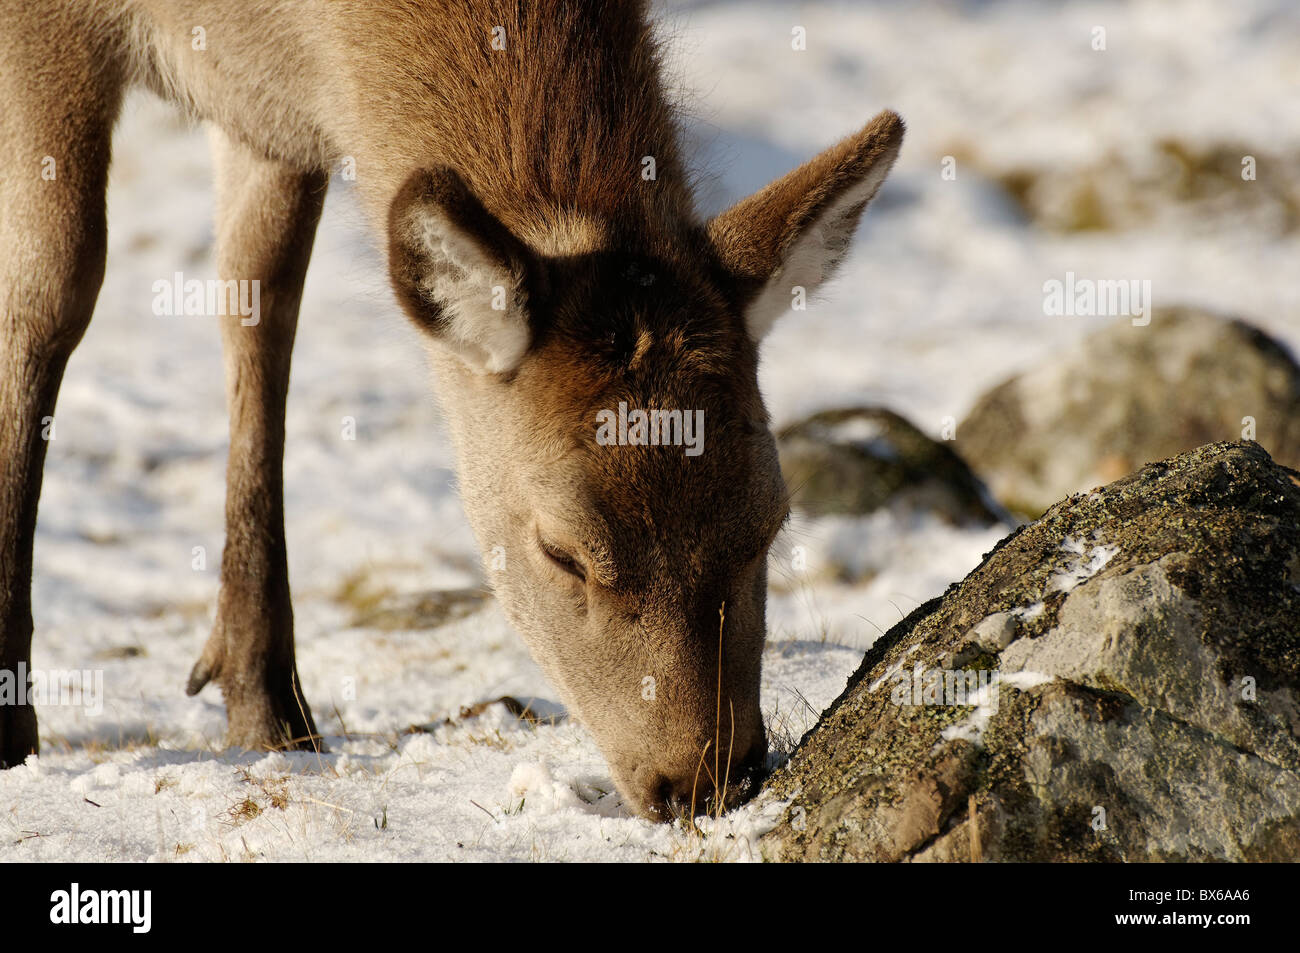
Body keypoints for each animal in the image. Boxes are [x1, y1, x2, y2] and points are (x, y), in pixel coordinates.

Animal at [2, 0, 904, 816]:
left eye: (771, 522)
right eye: (562, 551)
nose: (707, 780)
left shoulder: (267, 109)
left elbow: (259, 308)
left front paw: (268, 709)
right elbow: (50, 291)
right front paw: (12, 726)